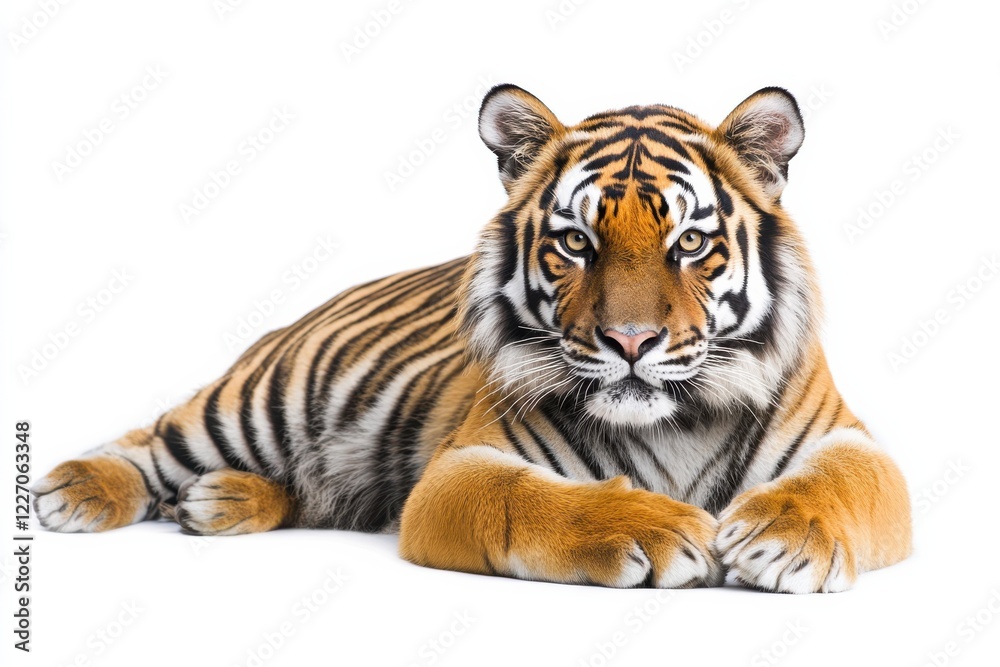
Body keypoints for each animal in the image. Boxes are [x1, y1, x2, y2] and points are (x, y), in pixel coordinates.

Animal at [33, 84, 912, 593]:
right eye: (577, 243)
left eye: (689, 243)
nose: (630, 340)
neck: (674, 420)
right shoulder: (466, 464)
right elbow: (533, 499)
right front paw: (655, 525)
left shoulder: (852, 442)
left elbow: (843, 484)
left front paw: (782, 537)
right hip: (256, 401)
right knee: (153, 438)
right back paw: (74, 490)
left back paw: (219, 501)